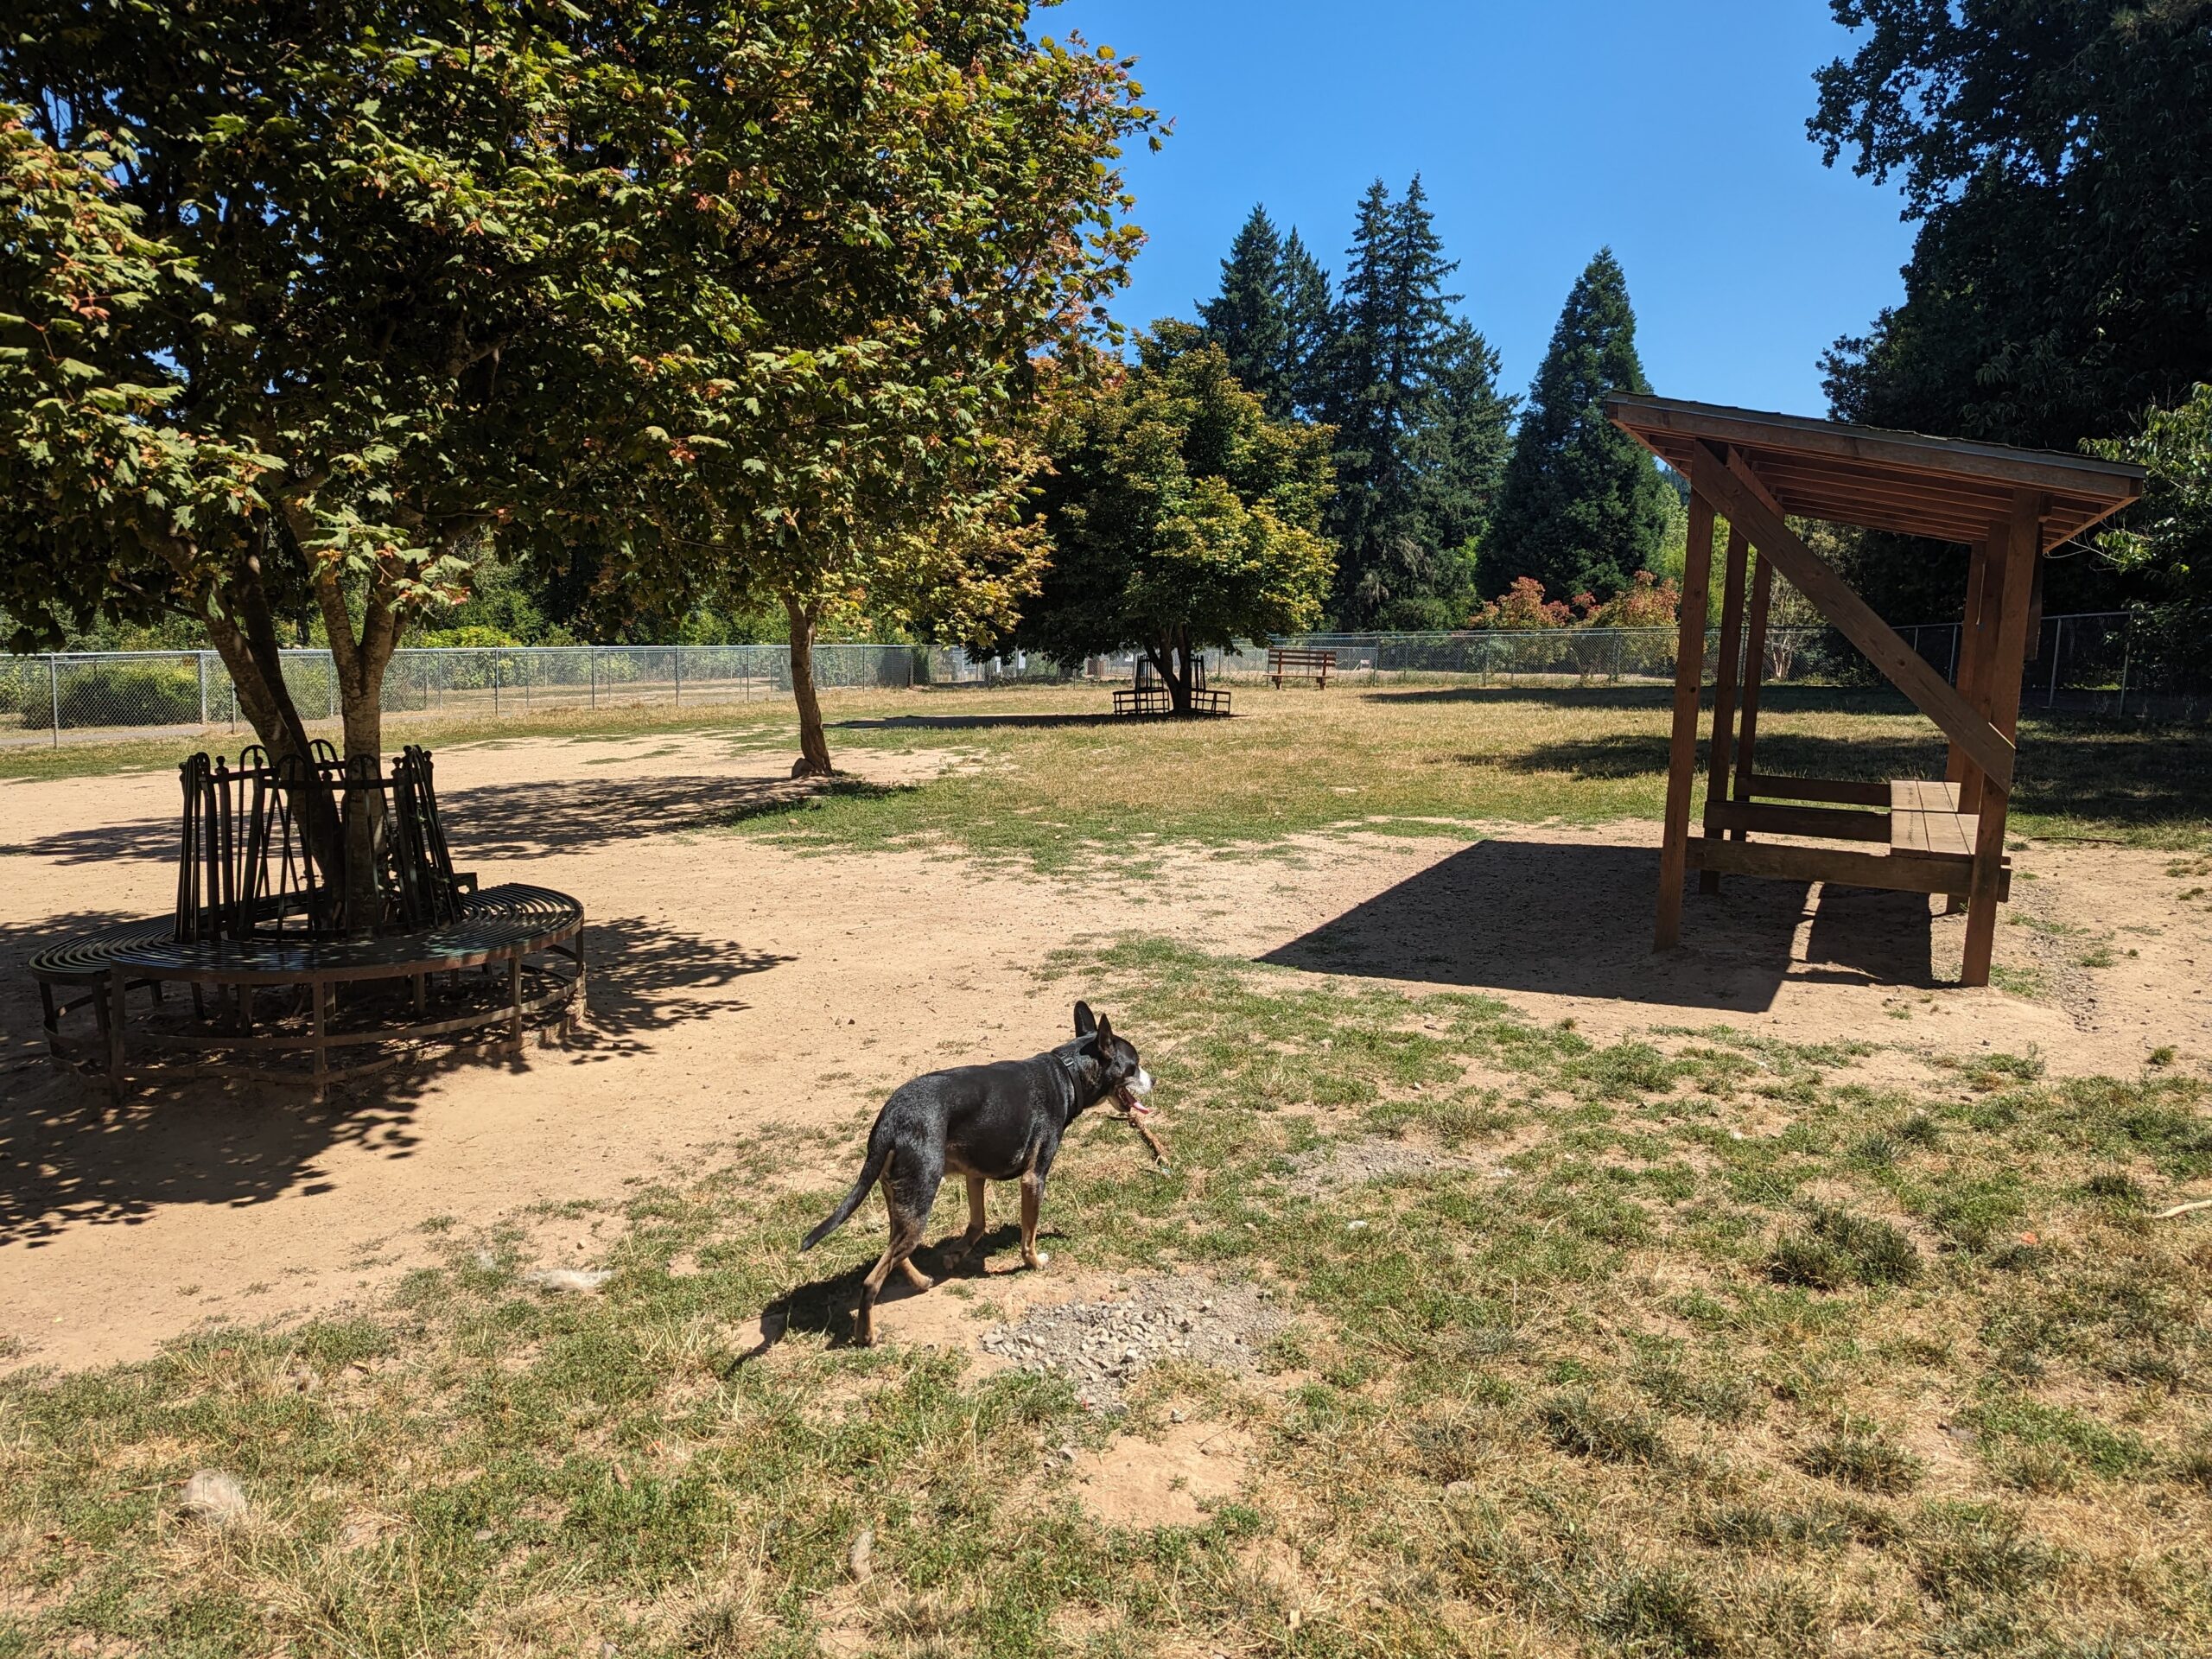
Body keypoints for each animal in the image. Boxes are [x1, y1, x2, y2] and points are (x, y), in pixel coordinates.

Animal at [804, 1008, 1150, 1344]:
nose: (1155, 1080)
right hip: (920, 1200)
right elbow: (1028, 1235)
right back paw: (866, 1334)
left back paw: (920, 1281)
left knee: (894, 1253)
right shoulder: (1033, 1178)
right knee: (872, 1280)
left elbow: (978, 1223)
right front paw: (1034, 1263)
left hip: (903, 1203)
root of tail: (889, 1120)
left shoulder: (975, 1175)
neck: (1067, 1072)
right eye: (1134, 1067)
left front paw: (957, 1253)